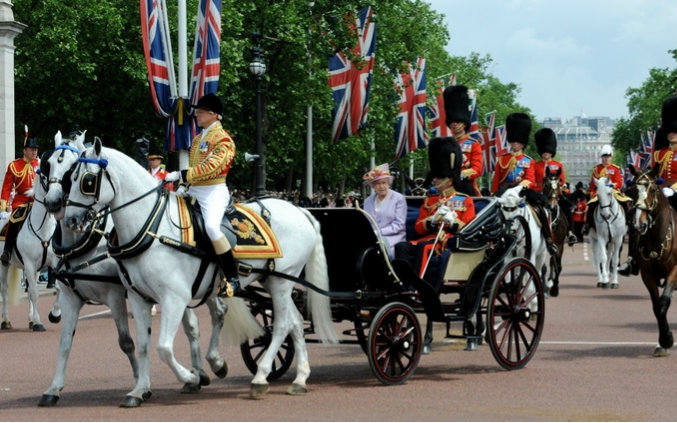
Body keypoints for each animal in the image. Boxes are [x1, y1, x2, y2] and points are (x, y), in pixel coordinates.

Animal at [60, 141, 336, 402]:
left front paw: (192, 376)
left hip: (282, 282)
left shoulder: (175, 298)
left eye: (86, 181)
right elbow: (143, 347)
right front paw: (139, 391)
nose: (70, 221)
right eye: (68, 179)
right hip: (273, 280)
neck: (151, 227)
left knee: (282, 325)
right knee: (295, 322)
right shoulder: (139, 298)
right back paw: (300, 379)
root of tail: (299, 209)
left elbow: (163, 348)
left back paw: (260, 377)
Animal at [628, 164, 676, 356]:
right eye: (633, 190)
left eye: (654, 189)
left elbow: (664, 302)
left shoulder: (675, 272)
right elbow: (657, 306)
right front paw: (663, 342)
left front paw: (667, 339)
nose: (639, 225)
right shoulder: (647, 275)